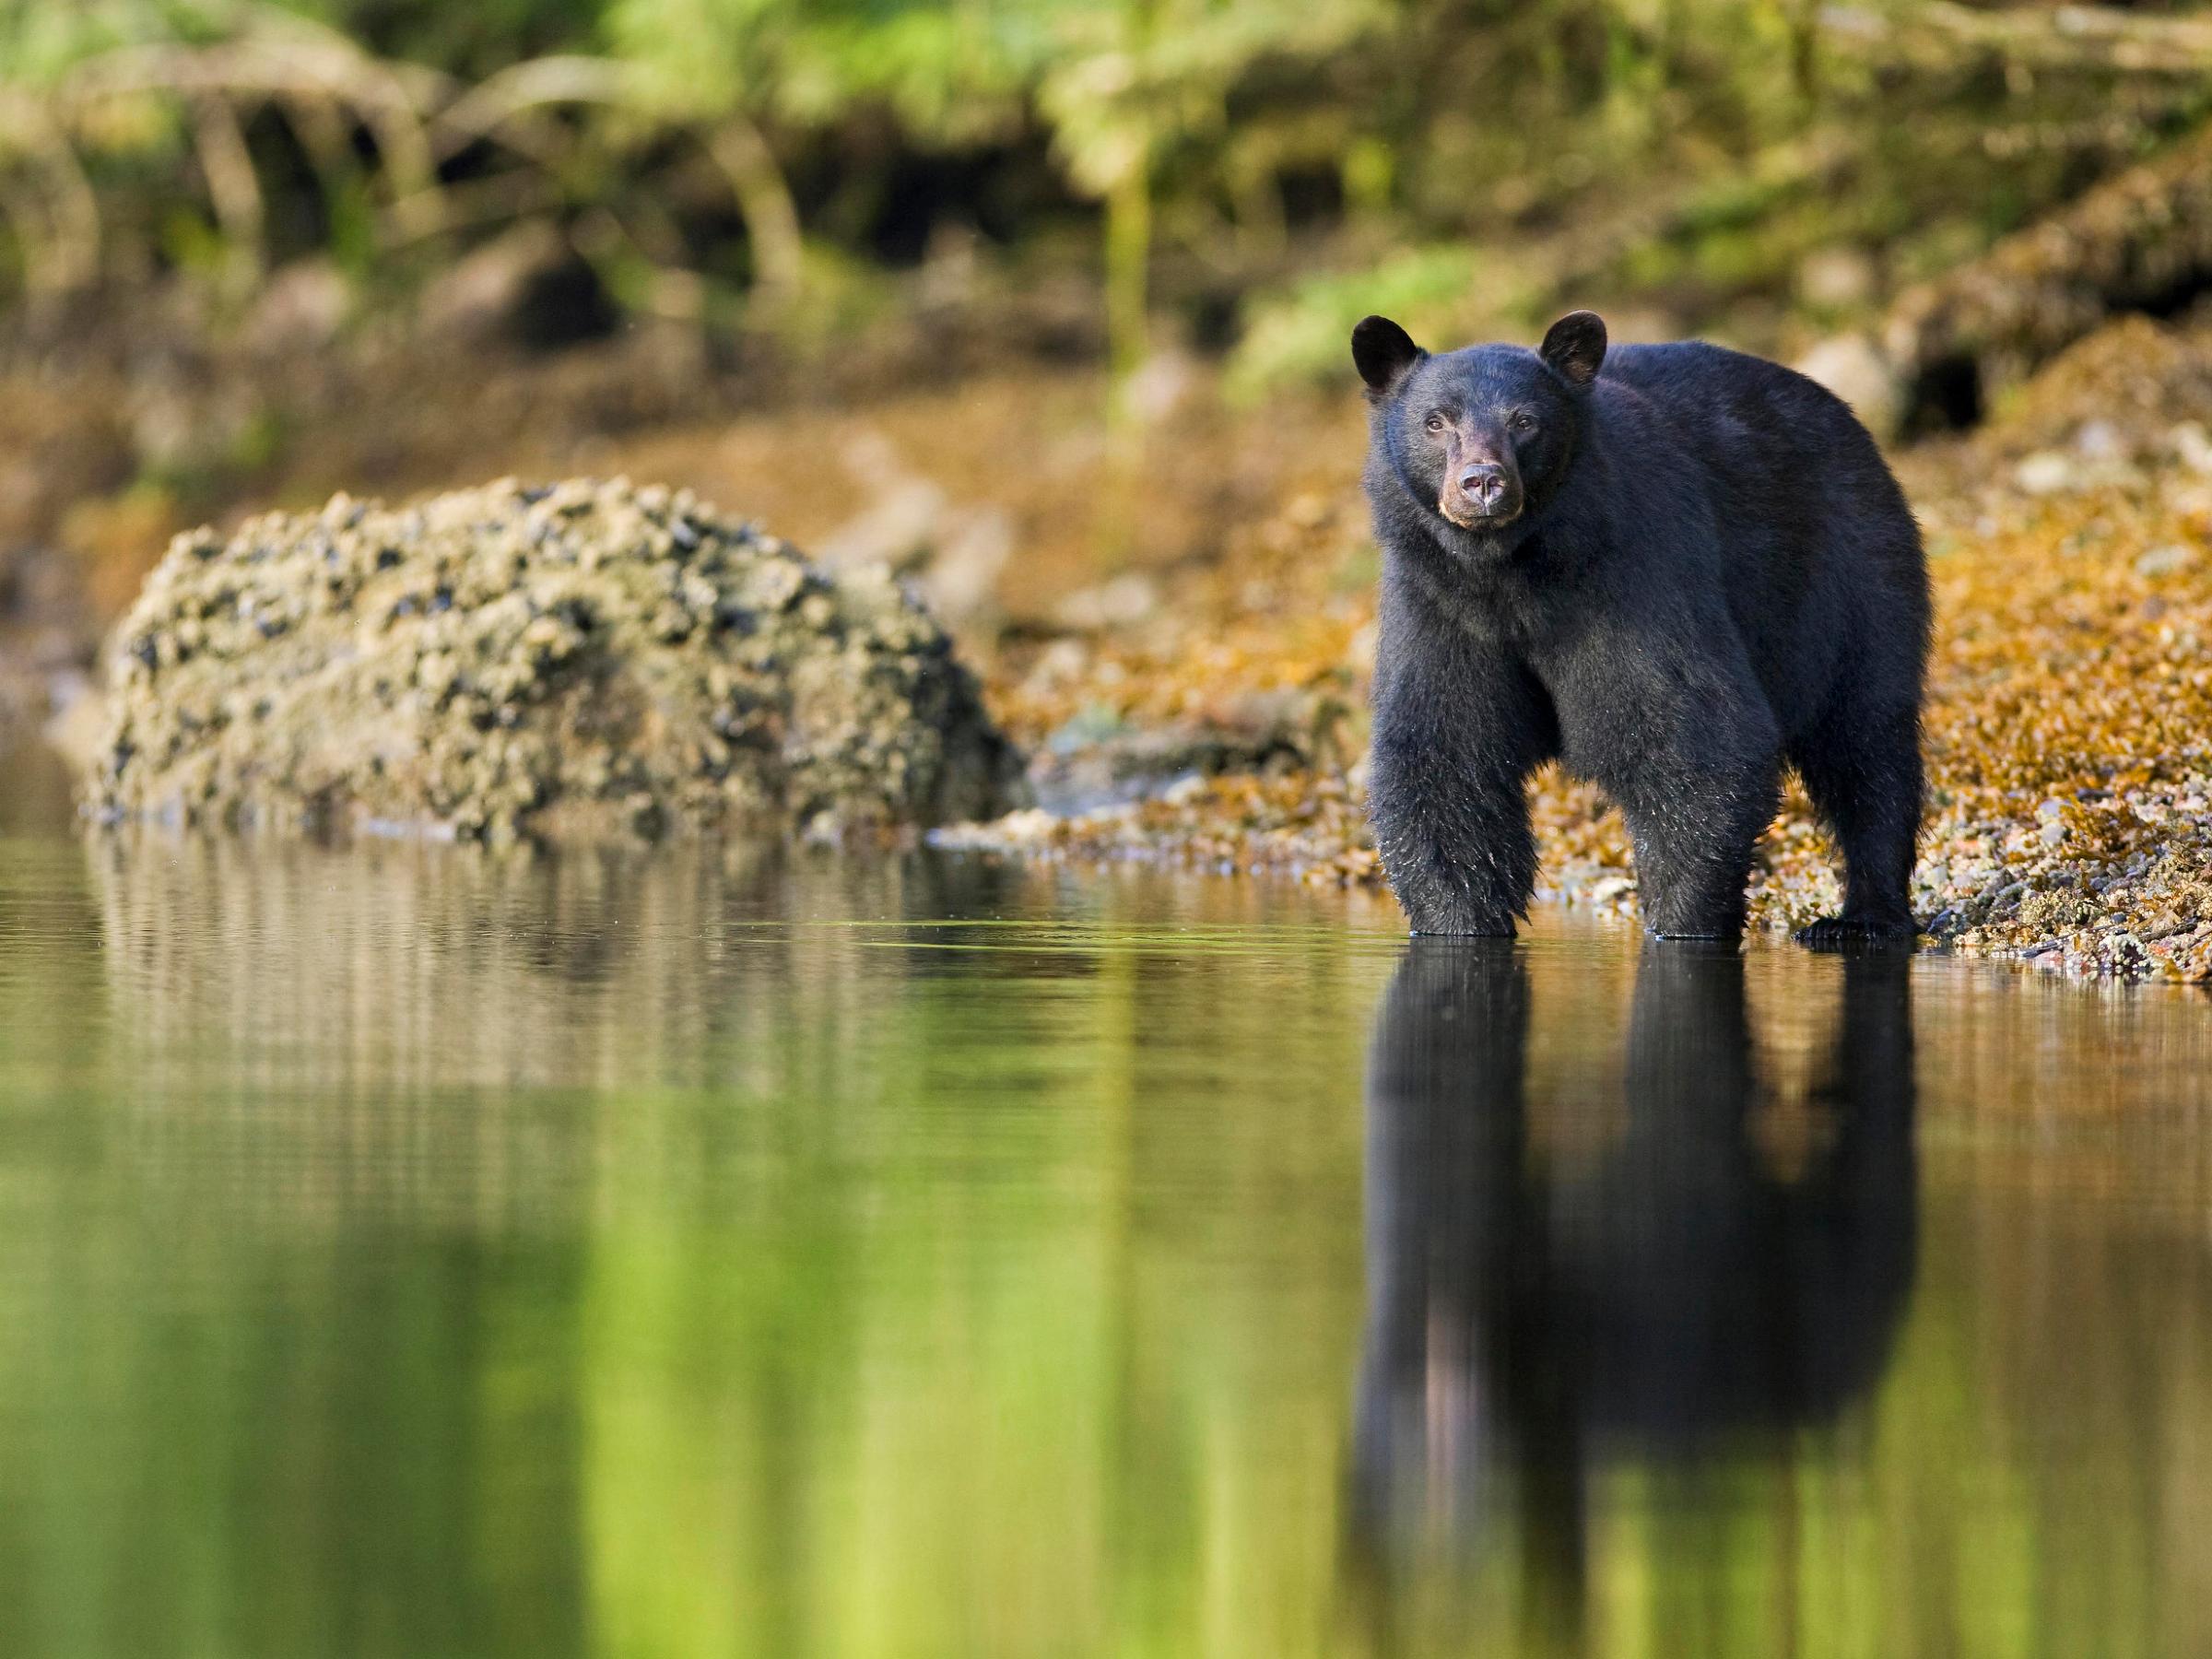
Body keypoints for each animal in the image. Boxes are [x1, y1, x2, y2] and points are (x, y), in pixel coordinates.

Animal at [1352, 310, 1930, 942]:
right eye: (1436, 421)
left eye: (1525, 421)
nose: (1482, 482)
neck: (1513, 573)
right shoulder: (1438, 605)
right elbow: (1445, 755)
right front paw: (1457, 923)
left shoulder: (1637, 572)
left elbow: (1692, 735)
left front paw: (1680, 921)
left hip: (1851, 574)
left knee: (1866, 739)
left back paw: (1864, 917)